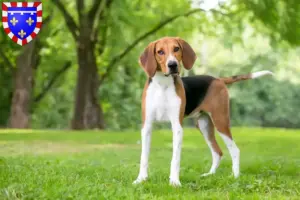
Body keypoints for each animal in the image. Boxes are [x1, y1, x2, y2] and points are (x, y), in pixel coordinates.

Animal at [132, 37, 274, 186]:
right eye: (160, 52)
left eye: (176, 48)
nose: (173, 65)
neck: (162, 85)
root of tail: (218, 79)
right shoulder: (147, 126)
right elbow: (144, 157)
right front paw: (141, 179)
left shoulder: (177, 127)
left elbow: (175, 159)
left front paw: (175, 182)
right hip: (204, 125)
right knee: (217, 152)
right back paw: (210, 175)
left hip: (220, 121)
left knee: (235, 150)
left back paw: (235, 177)